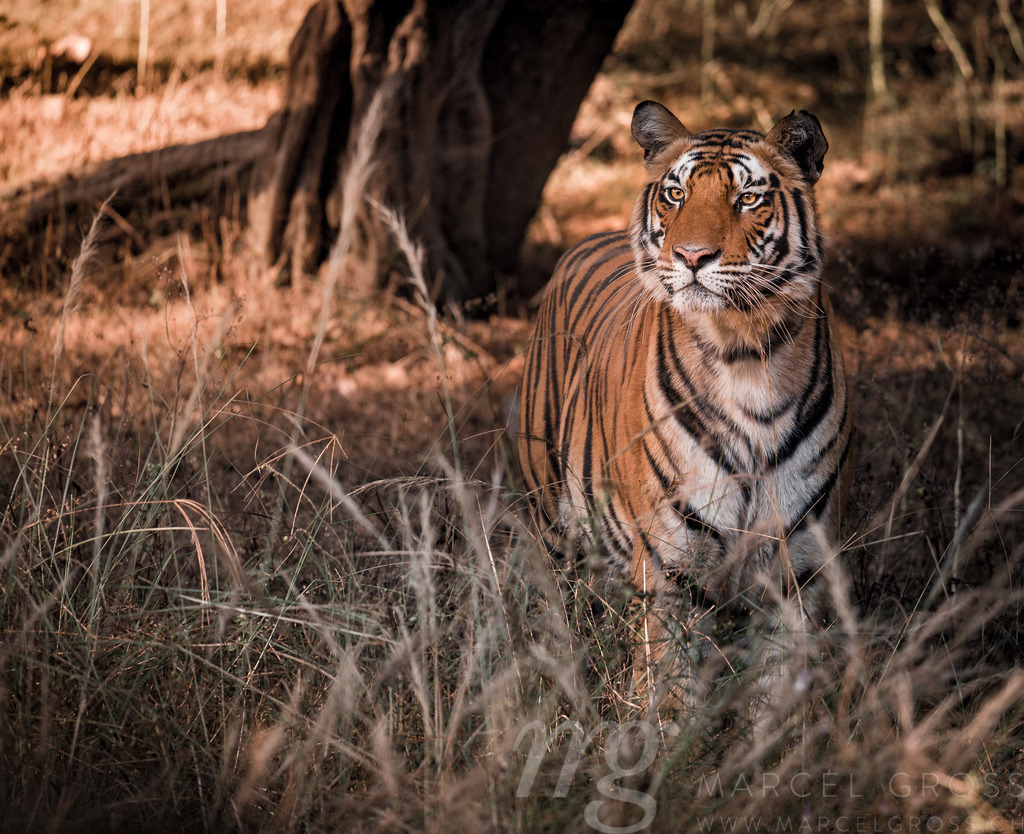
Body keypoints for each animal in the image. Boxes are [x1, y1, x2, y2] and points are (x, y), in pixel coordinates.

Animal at [517, 101, 851, 716]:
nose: (691, 256)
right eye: (675, 194)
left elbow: (776, 698)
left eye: (748, 198)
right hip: (552, 526)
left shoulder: (794, 571)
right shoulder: (670, 567)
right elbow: (668, 687)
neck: (748, 355)